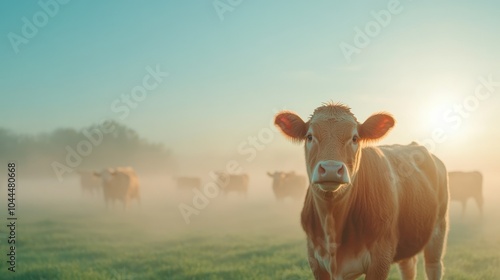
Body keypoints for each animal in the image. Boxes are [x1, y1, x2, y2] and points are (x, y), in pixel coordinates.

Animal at [274, 103, 450, 280]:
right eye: (309, 136)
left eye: (354, 138)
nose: (331, 169)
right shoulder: (316, 260)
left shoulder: (381, 258)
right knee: (408, 266)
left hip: (439, 227)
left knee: (434, 266)